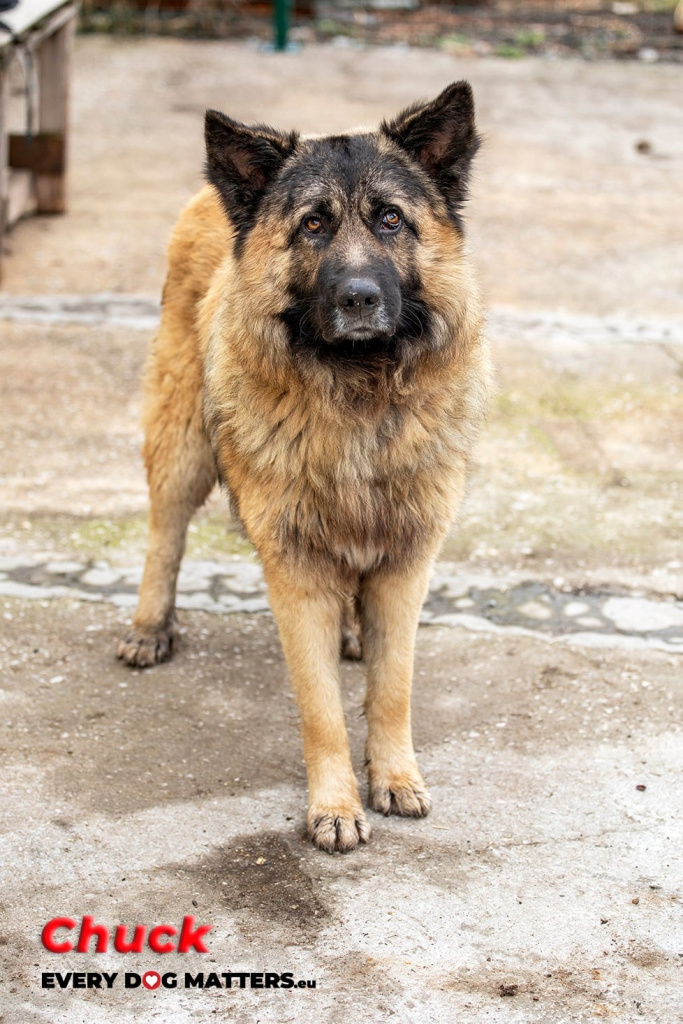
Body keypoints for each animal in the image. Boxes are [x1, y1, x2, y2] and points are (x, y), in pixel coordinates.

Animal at [118, 79, 491, 851]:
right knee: (164, 535)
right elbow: (320, 708)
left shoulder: (405, 564)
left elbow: (392, 688)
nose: (359, 299)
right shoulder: (294, 571)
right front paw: (335, 806)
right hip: (181, 446)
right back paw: (149, 626)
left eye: (389, 220)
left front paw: (395, 776)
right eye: (313, 226)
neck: (358, 394)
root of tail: (211, 194)